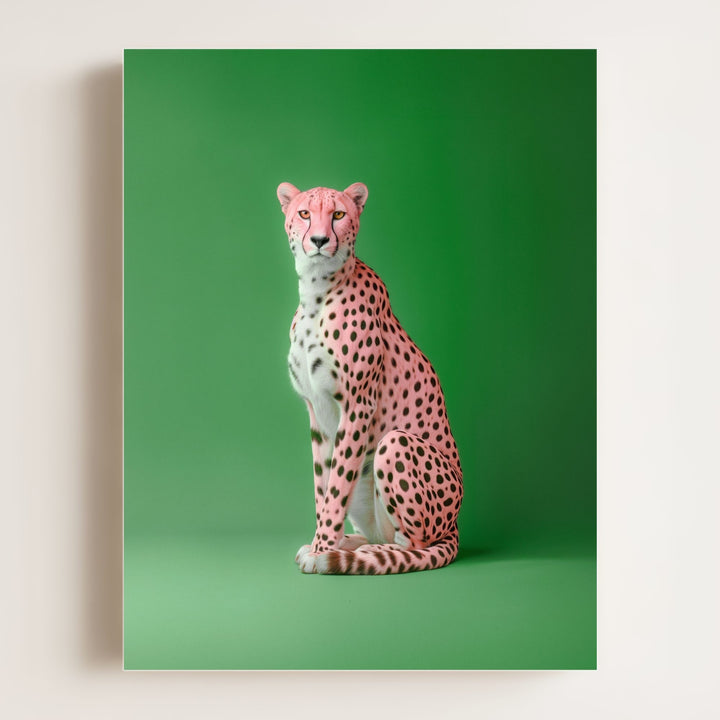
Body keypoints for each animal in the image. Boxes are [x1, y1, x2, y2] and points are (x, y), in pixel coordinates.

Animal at [278, 181, 463, 574]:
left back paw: (359, 554)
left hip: (394, 444)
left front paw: (322, 550)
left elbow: (336, 489)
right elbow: (323, 485)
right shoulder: (317, 412)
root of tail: (455, 525)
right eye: (304, 213)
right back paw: (351, 544)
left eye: (338, 214)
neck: (317, 291)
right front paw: (321, 543)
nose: (319, 240)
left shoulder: (357, 405)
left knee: (414, 545)